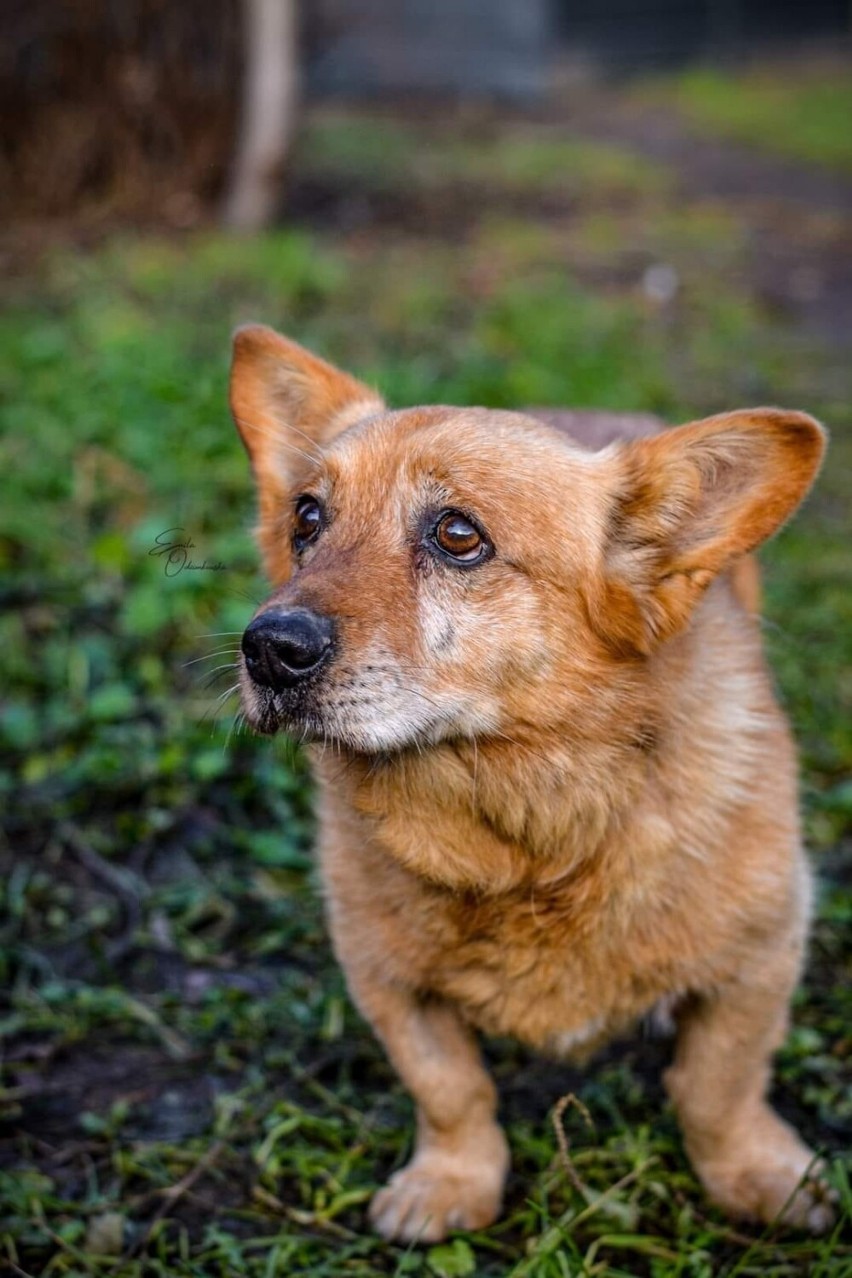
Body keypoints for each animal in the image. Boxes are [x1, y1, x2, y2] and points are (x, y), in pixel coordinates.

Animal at [229, 324, 827, 1242]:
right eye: (306, 519)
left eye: (458, 535)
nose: (268, 648)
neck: (521, 836)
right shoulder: (387, 982)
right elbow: (452, 1092)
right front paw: (452, 1182)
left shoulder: (761, 961)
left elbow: (719, 1090)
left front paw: (759, 1176)